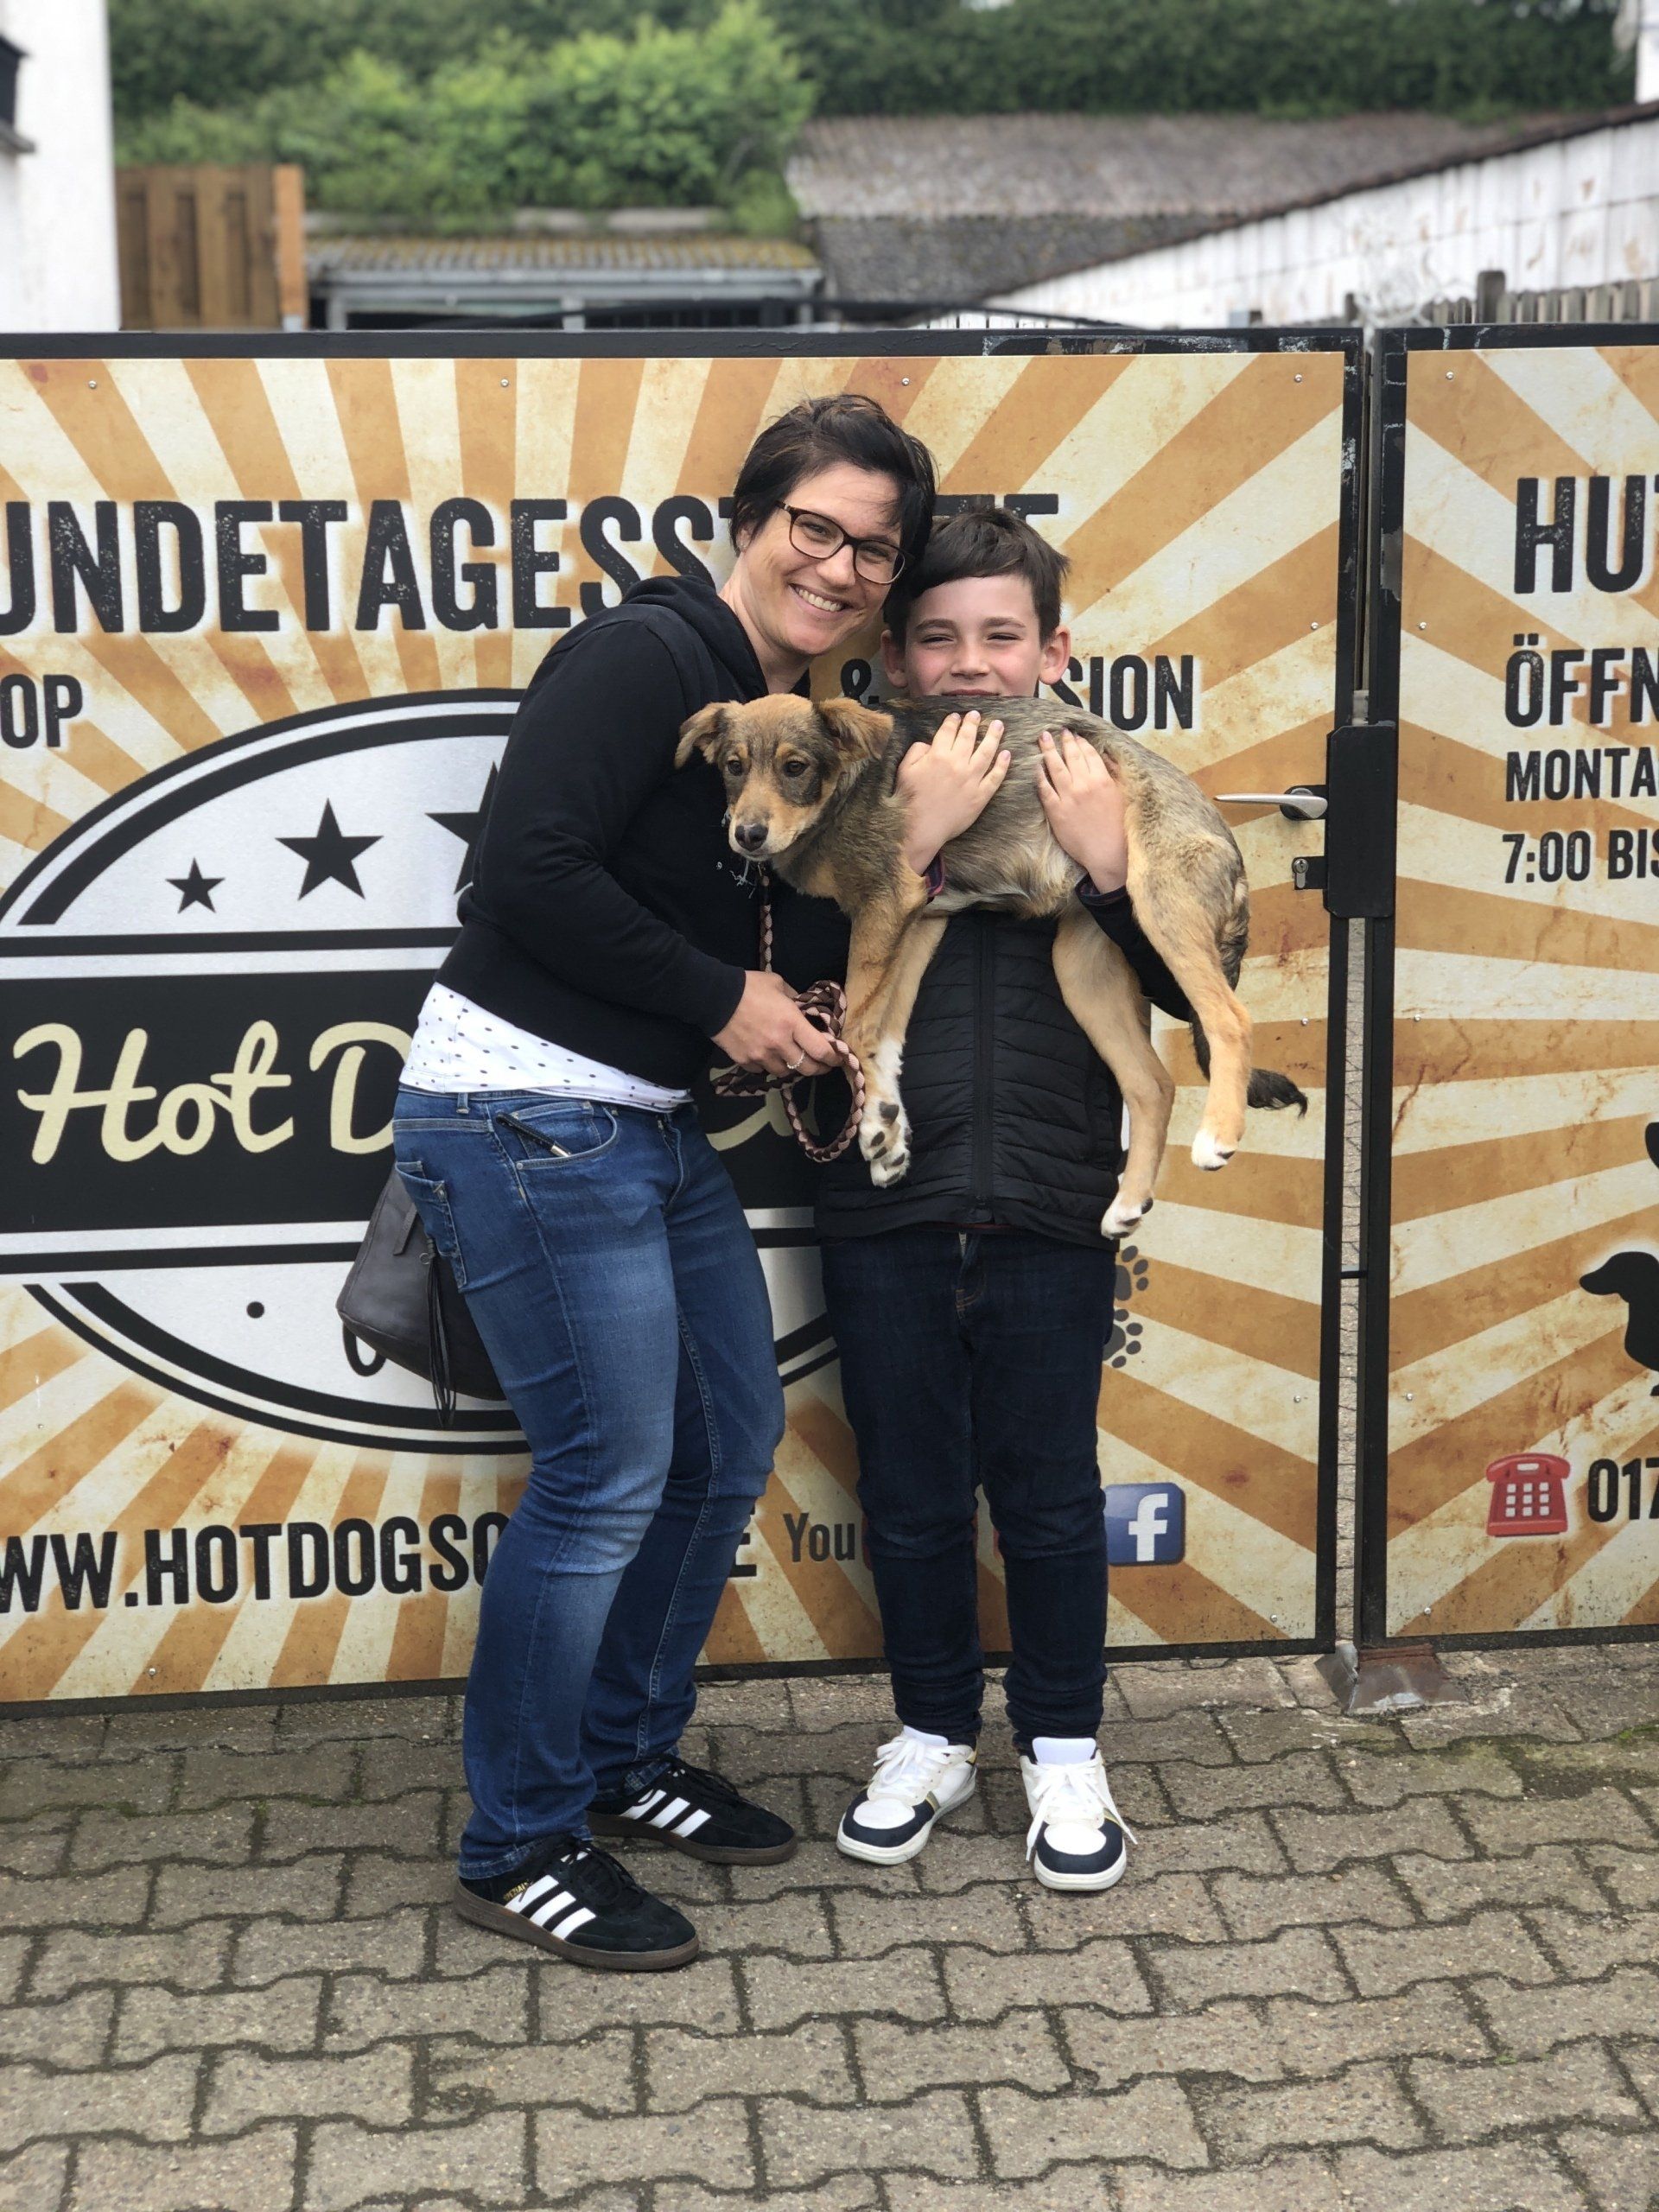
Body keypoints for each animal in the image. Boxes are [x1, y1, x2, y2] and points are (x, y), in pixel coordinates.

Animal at [676, 692, 1305, 1238]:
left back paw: (1217, 1136)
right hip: (1082, 971)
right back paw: (1127, 1204)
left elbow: (854, 1027)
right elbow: (883, 1031)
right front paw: (885, 1127)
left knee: (1230, 1020)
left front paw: (875, 1123)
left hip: (1161, 902)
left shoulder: (887, 900)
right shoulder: (920, 918)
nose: (747, 835)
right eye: (733, 767)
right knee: (1153, 1085)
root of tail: (1227, 839)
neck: (842, 794)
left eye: (795, 767)